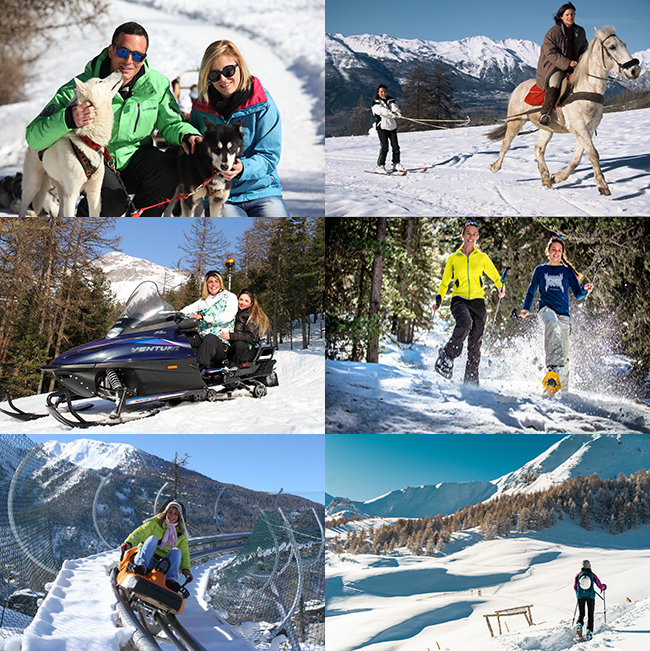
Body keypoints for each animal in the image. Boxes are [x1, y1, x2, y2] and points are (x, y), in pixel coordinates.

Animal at [19, 70, 123, 219]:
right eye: (100, 81)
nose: (118, 71)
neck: (87, 139)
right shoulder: (72, 195)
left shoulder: (95, 194)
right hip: (33, 186)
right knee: (22, 208)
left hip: (61, 190)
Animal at [486, 27, 636, 196]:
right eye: (612, 46)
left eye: (624, 44)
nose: (635, 69)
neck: (587, 88)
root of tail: (518, 88)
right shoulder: (579, 127)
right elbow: (593, 154)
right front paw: (602, 185)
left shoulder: (588, 130)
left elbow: (577, 157)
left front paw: (556, 177)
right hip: (516, 121)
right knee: (506, 143)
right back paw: (495, 166)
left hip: (546, 128)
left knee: (538, 149)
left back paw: (545, 177)